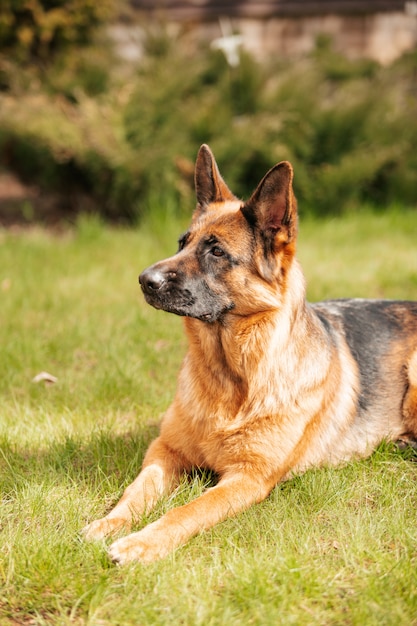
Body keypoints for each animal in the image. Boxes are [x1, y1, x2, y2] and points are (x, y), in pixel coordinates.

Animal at [84, 145, 416, 560]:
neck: (232, 379)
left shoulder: (247, 478)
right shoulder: (165, 451)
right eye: (182, 244)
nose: (145, 280)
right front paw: (108, 523)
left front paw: (143, 542)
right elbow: (136, 490)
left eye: (216, 252)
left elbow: (188, 509)